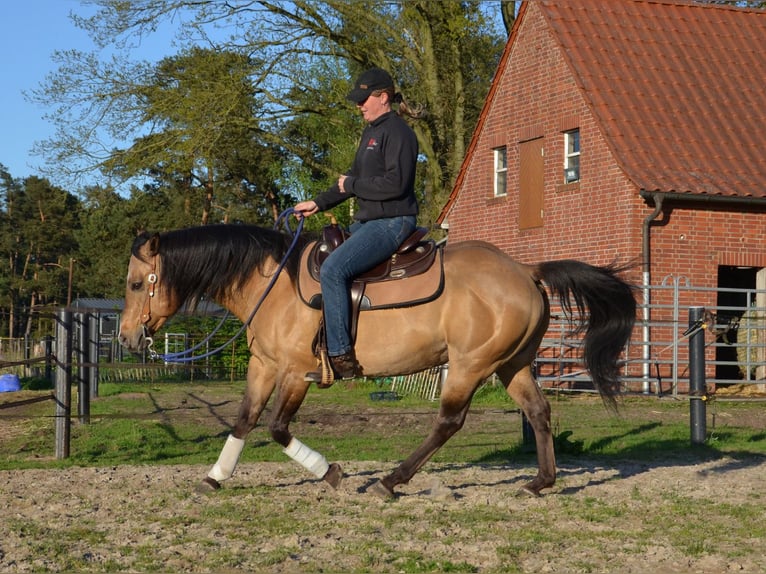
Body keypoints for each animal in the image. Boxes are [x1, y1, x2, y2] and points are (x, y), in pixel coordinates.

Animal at [118, 222, 636, 498]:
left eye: (135, 283)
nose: (126, 337)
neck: (273, 286)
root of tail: (525, 271)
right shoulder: (262, 366)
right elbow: (244, 420)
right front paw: (215, 477)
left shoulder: (296, 373)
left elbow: (278, 428)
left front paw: (329, 472)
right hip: (511, 365)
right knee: (539, 412)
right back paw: (540, 482)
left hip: (469, 366)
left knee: (449, 422)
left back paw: (391, 480)